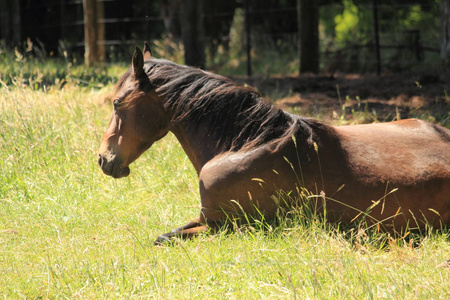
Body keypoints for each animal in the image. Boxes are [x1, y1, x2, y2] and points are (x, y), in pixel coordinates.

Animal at [98, 42, 450, 244]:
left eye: (116, 103)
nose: (103, 159)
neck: (247, 144)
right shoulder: (206, 219)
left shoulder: (225, 226)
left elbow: (163, 238)